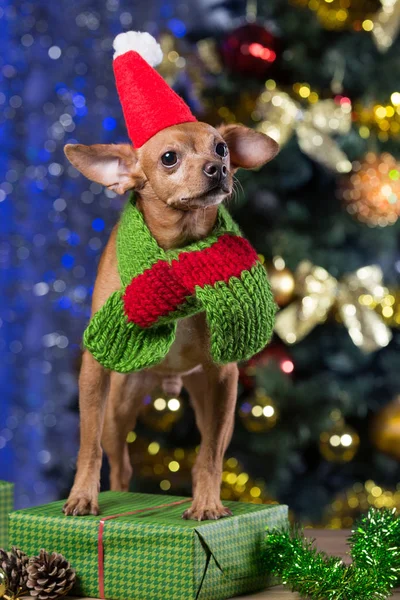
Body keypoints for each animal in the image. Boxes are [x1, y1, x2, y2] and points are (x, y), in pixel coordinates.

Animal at [64, 118, 278, 520]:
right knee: (120, 464)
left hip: (213, 401)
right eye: (168, 158)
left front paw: (207, 503)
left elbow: (210, 456)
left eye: (221, 148)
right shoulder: (95, 369)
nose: (217, 168)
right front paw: (82, 495)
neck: (178, 248)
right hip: (119, 408)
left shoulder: (223, 376)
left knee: (210, 447)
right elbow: (87, 445)